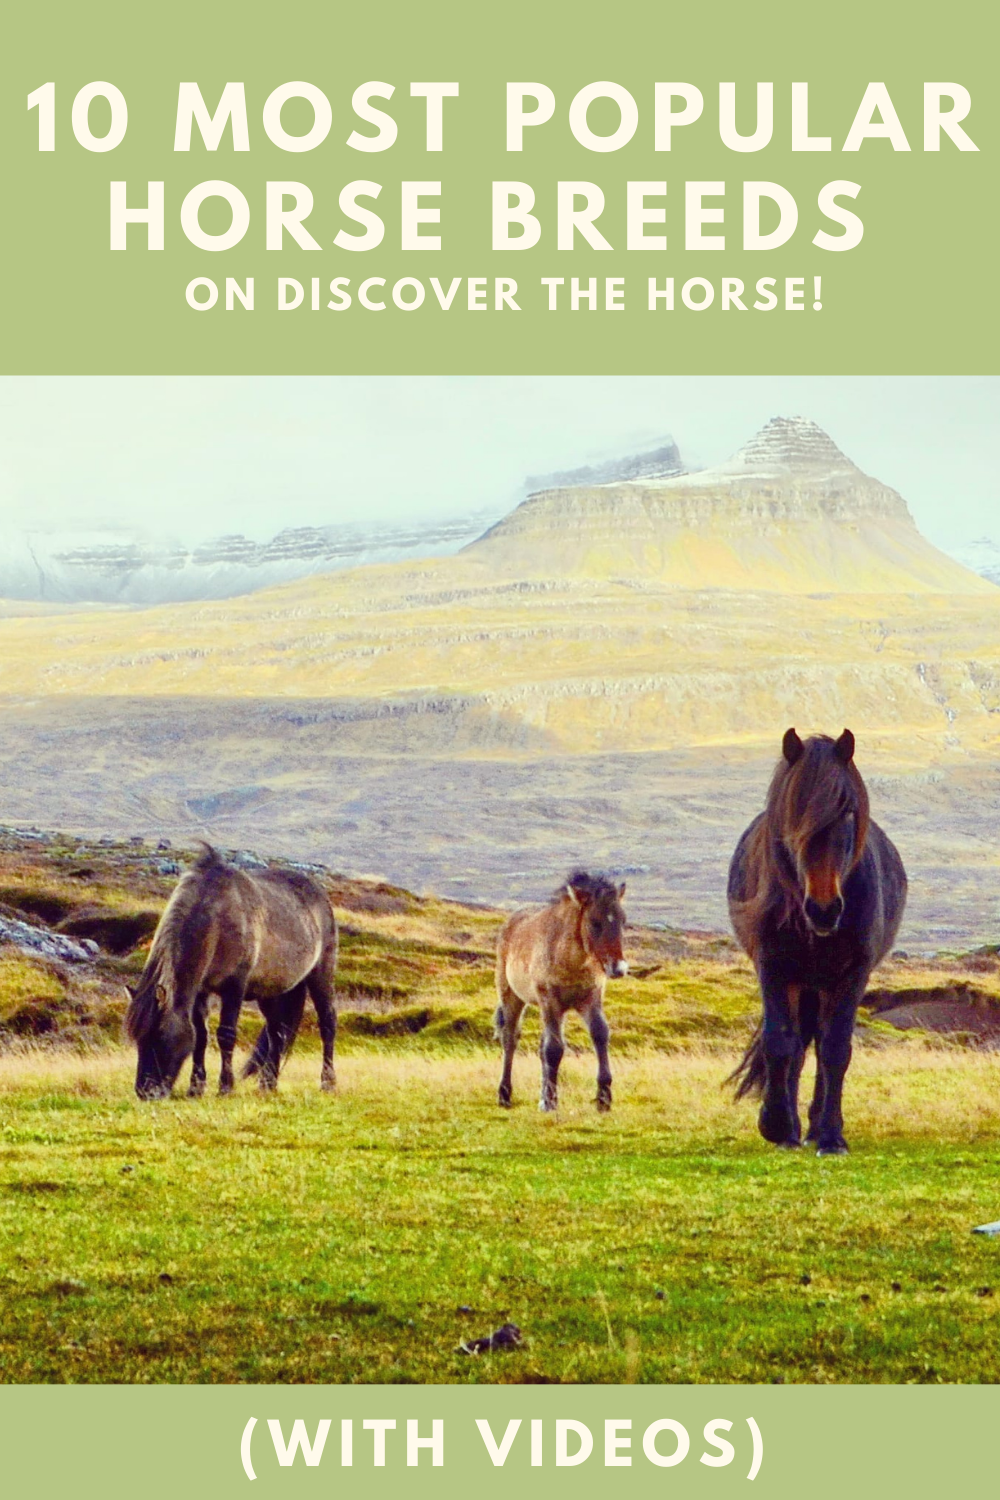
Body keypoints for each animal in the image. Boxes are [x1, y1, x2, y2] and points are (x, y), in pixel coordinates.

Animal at [125, 845, 338, 1099]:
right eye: (138, 1039)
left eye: (157, 1035)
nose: (144, 1091)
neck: (216, 918)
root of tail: (321, 894)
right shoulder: (201, 990)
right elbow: (200, 1036)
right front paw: (195, 1088)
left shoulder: (235, 987)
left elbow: (226, 1035)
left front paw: (225, 1086)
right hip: (271, 992)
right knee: (277, 1031)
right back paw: (268, 1084)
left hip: (321, 974)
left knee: (327, 1023)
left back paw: (328, 1082)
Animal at [494, 870, 628, 1113]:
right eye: (594, 922)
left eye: (623, 921)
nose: (619, 968)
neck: (571, 961)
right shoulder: (550, 1001)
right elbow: (554, 1049)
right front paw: (550, 1102)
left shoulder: (590, 999)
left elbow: (600, 1035)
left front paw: (604, 1098)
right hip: (512, 995)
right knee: (510, 1039)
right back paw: (505, 1095)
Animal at [727, 728, 907, 1155]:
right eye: (793, 812)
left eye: (848, 812)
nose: (824, 909)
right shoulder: (773, 968)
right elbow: (780, 1043)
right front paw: (776, 1124)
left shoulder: (853, 973)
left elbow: (836, 1049)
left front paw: (831, 1135)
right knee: (797, 1043)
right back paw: (793, 1130)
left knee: (821, 1042)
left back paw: (813, 1129)